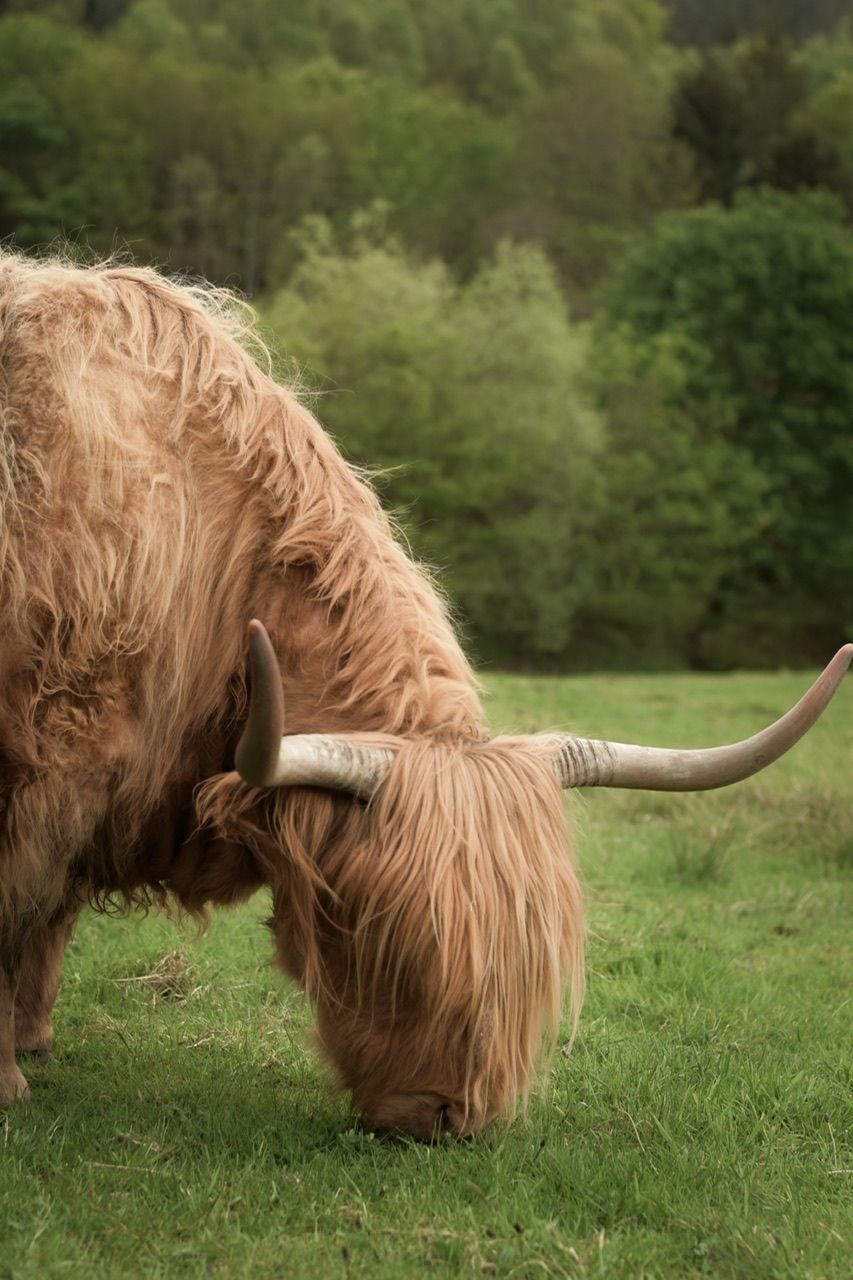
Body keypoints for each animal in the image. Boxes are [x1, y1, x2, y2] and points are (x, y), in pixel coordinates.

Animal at [0, 251, 848, 1139]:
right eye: (385, 938)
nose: (446, 1115)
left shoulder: (97, 781)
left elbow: (49, 905)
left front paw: (35, 1042)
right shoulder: (50, 756)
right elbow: (16, 902)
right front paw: (9, 1081)